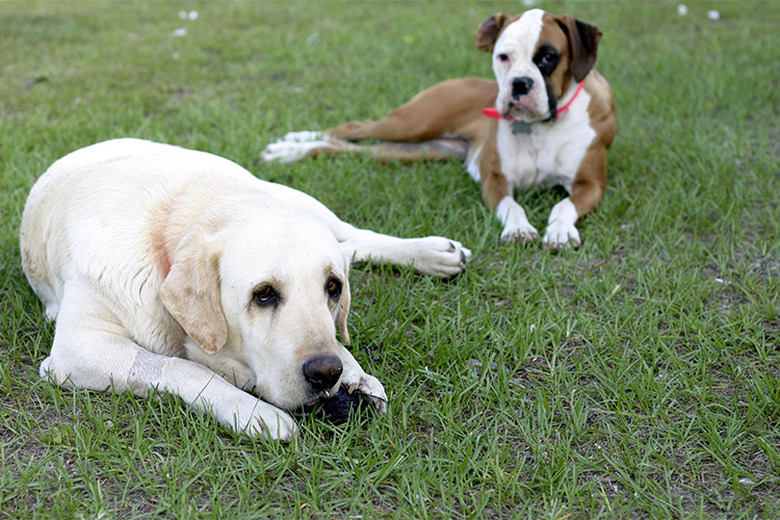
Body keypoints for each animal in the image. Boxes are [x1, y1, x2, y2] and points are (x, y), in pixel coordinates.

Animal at [19, 138, 470, 438]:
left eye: (332, 287)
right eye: (264, 294)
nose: (326, 374)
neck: (181, 217)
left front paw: (352, 369)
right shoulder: (79, 349)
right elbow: (180, 367)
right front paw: (252, 411)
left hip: (293, 195)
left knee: (351, 236)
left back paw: (433, 251)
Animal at [262, 9, 616, 250]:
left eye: (548, 57)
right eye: (503, 56)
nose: (519, 84)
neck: (541, 127)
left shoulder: (590, 184)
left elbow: (564, 204)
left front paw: (559, 230)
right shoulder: (495, 179)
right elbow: (512, 205)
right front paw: (518, 229)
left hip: (409, 150)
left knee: (348, 146)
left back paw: (292, 149)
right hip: (409, 124)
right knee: (352, 127)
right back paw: (290, 145)